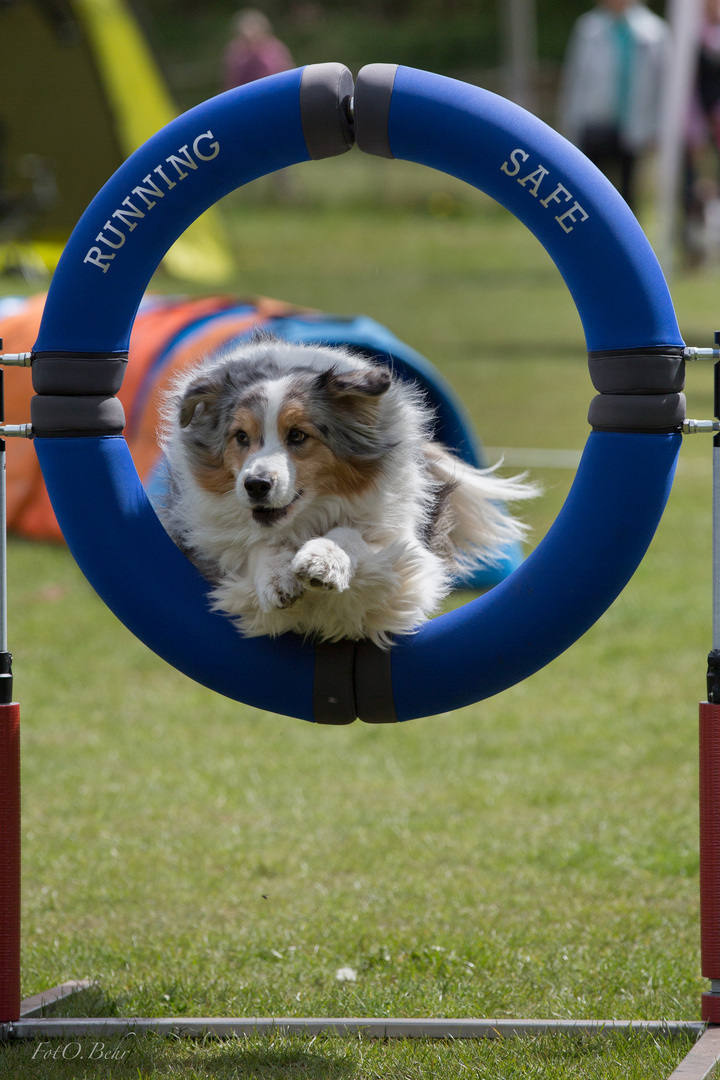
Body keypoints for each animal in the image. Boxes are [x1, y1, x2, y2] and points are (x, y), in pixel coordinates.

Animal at [158, 336, 539, 643]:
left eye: (298, 435)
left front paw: (323, 561)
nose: (255, 485)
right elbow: (254, 547)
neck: (305, 520)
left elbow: (353, 535)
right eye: (240, 437)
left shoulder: (403, 557)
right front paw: (277, 577)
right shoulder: (212, 543)